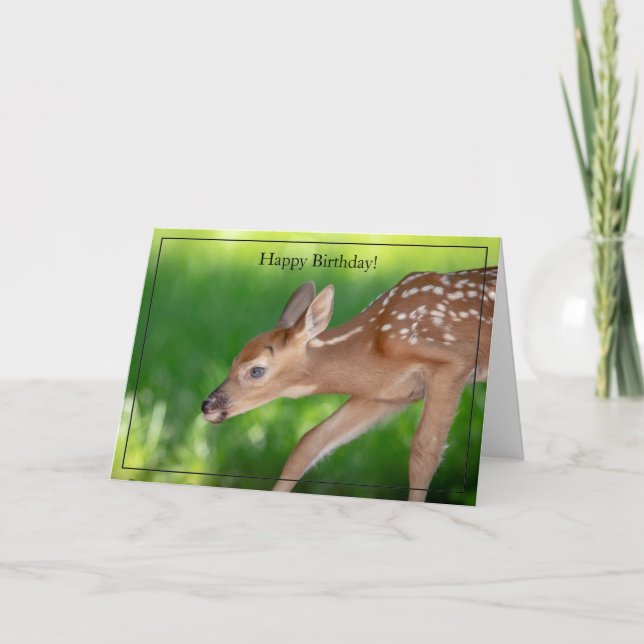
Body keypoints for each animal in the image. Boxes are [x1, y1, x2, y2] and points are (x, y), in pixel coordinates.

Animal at [201, 267, 497, 502]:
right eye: (233, 360)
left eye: (256, 370)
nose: (207, 405)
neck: (375, 345)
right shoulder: (391, 392)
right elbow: (309, 441)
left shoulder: (453, 363)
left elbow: (424, 453)